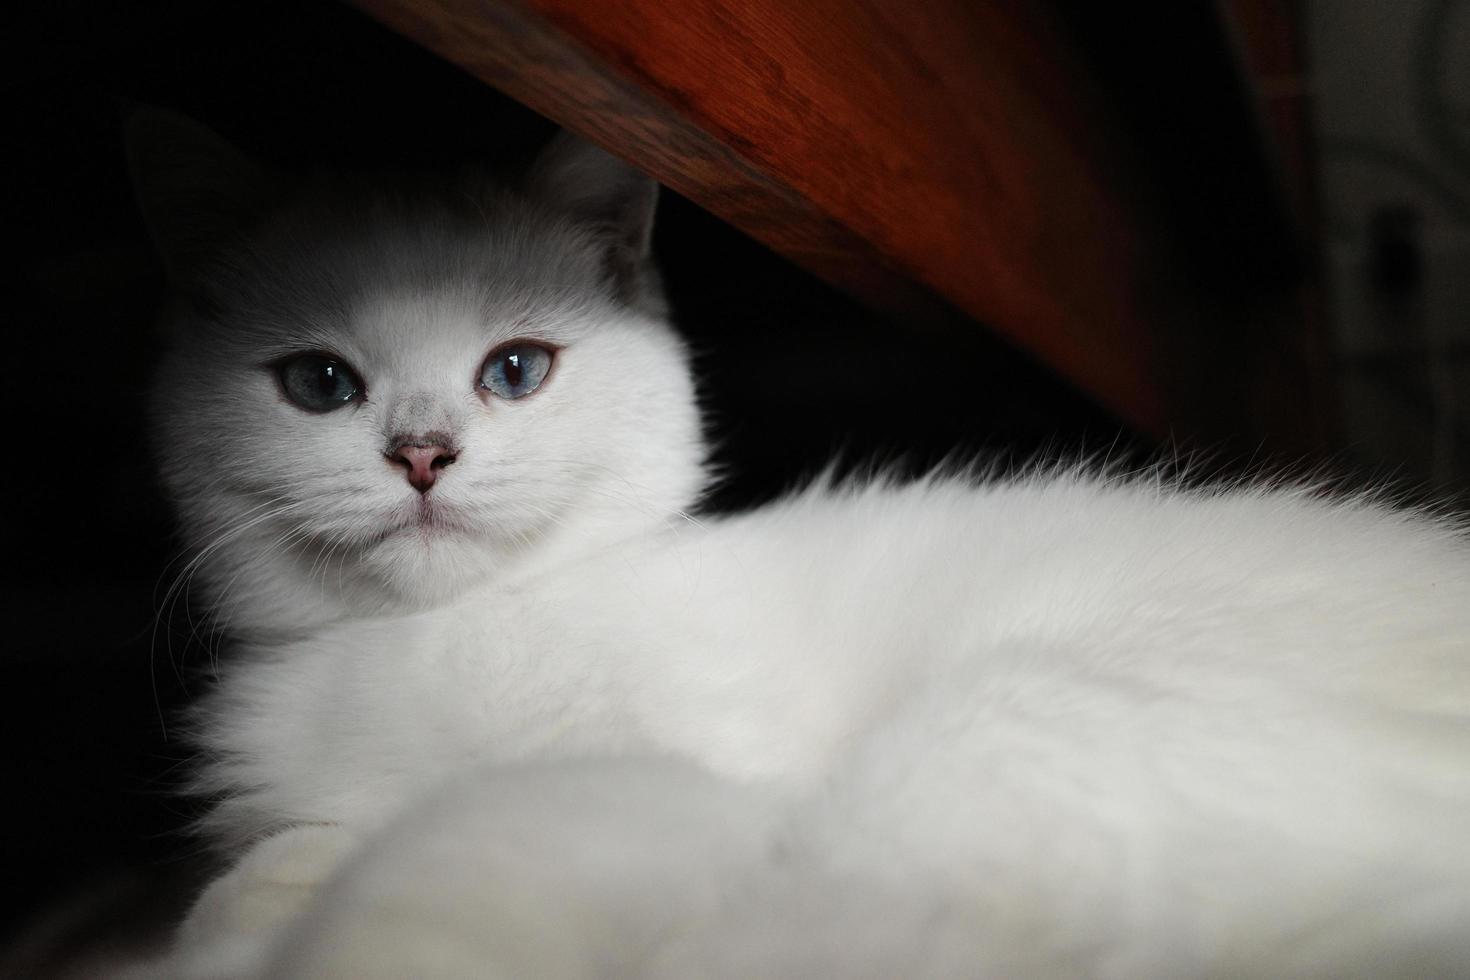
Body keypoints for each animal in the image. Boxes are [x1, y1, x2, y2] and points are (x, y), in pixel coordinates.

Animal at [132, 110, 1470, 975]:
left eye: (515, 369)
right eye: (319, 383)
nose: (420, 452)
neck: (419, 641)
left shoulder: (666, 784)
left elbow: (424, 861)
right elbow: (278, 856)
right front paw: (248, 900)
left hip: (998, 742)